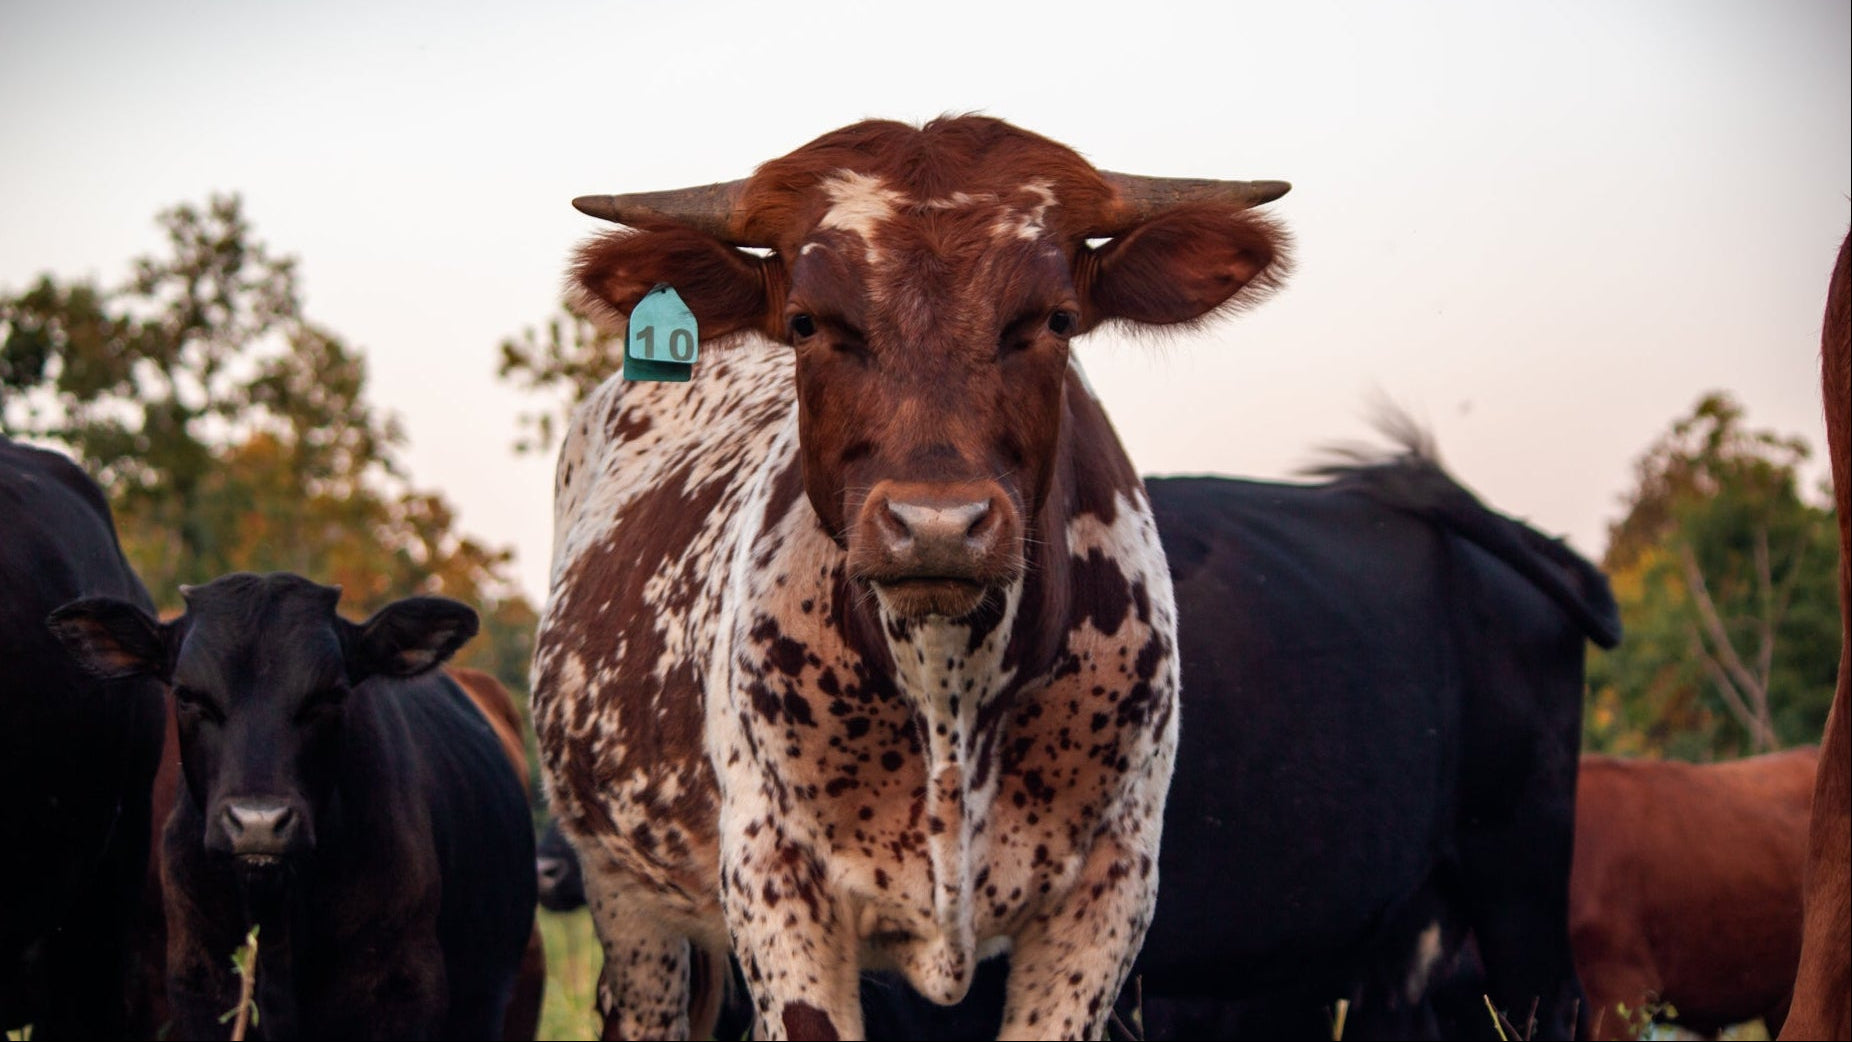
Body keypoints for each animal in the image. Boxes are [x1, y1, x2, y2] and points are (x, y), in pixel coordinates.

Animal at [531, 114, 1291, 1040]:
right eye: (807, 322)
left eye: (1057, 318)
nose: (937, 526)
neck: (949, 695)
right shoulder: (775, 885)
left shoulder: (1108, 894)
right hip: (624, 902)